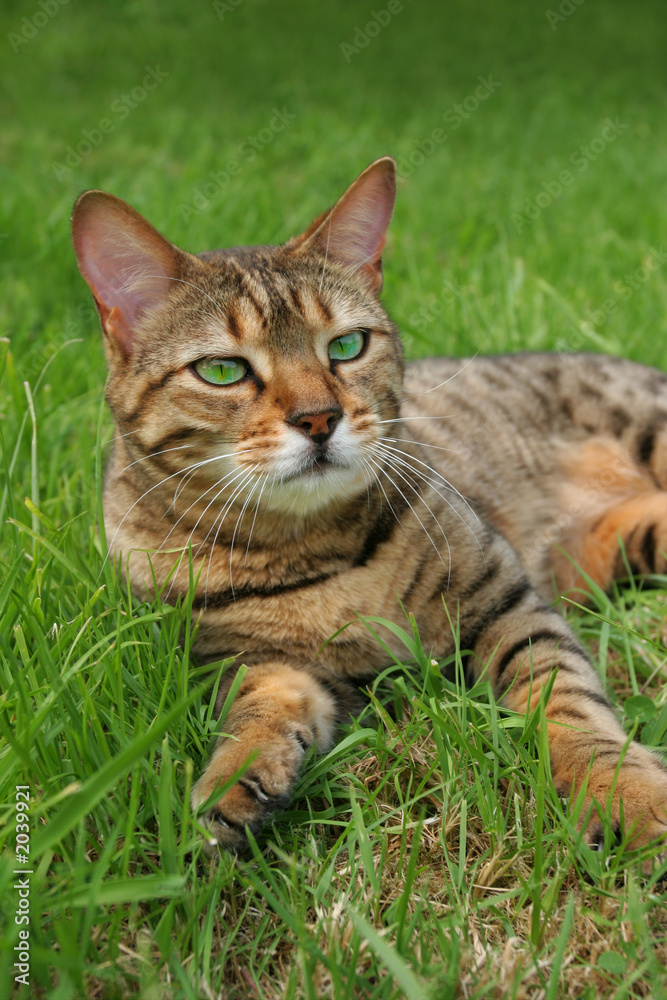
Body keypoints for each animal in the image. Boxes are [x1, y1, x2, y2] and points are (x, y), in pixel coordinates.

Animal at [70, 154, 667, 852]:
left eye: (347, 346)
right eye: (222, 370)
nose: (319, 418)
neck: (308, 548)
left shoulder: (507, 602)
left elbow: (565, 698)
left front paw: (624, 792)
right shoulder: (259, 662)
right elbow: (262, 708)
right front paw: (233, 782)